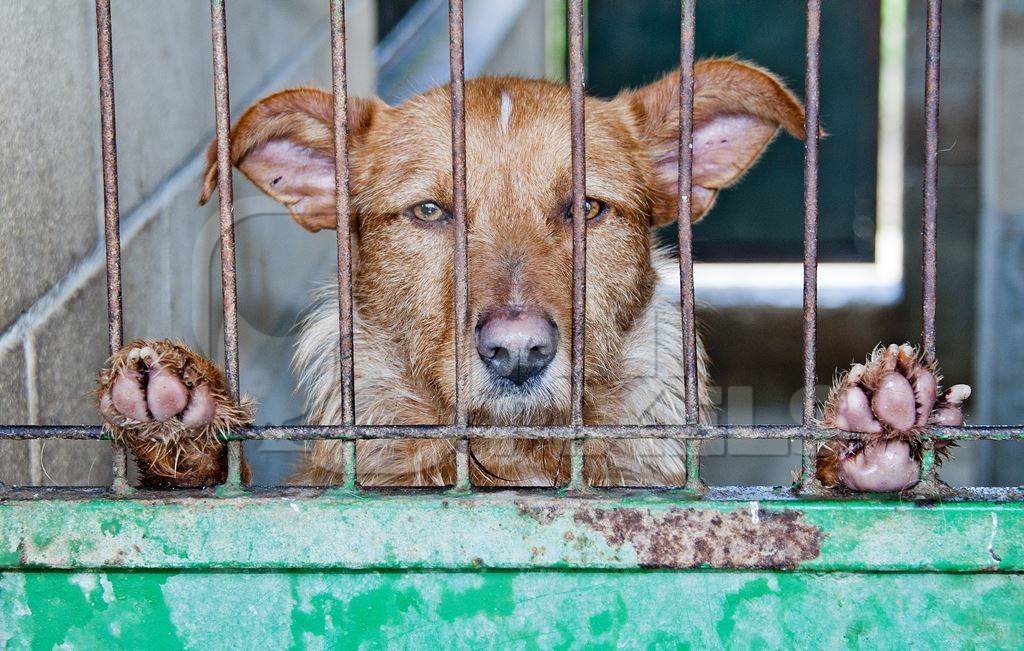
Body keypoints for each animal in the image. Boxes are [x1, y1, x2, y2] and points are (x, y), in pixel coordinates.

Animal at [96, 58, 966, 491]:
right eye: (429, 211)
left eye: (586, 207)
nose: (517, 352)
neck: (515, 460)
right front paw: (180, 423)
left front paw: (866, 438)